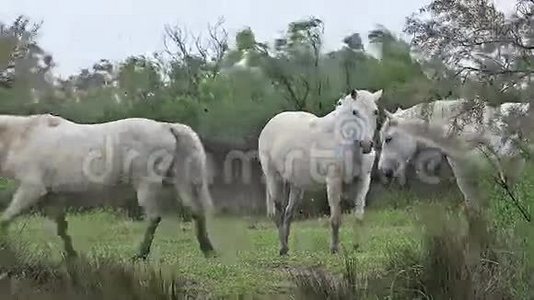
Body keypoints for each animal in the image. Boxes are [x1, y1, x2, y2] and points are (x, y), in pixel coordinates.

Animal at [0, 113, 216, 258]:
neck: (24, 136)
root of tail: (166, 127)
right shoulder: (53, 197)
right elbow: (62, 228)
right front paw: (72, 255)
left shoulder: (31, 189)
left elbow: (5, 218)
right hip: (180, 181)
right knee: (196, 210)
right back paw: (207, 250)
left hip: (147, 186)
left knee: (154, 217)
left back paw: (140, 254)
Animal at [258, 89, 382, 255]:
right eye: (355, 112)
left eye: (375, 112)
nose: (367, 145)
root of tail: (269, 124)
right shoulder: (333, 181)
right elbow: (335, 218)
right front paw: (334, 249)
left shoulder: (363, 180)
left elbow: (358, 216)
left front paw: (357, 246)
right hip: (274, 178)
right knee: (279, 212)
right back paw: (283, 248)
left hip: (296, 186)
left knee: (289, 213)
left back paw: (287, 246)